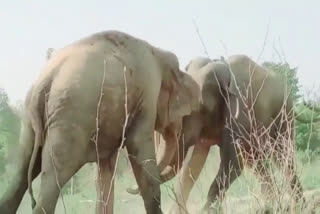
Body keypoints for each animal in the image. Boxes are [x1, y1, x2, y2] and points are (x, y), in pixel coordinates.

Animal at [0, 30, 200, 214]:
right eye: (182, 114)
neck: (158, 53)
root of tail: (47, 78)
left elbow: (106, 170)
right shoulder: (147, 95)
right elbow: (139, 148)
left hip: (30, 120)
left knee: (21, 173)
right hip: (70, 119)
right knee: (53, 179)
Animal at [125, 54, 308, 212]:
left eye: (194, 109)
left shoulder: (239, 115)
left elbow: (232, 164)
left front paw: (206, 211)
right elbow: (191, 165)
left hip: (284, 118)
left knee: (284, 159)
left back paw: (298, 207)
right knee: (256, 163)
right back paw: (270, 207)